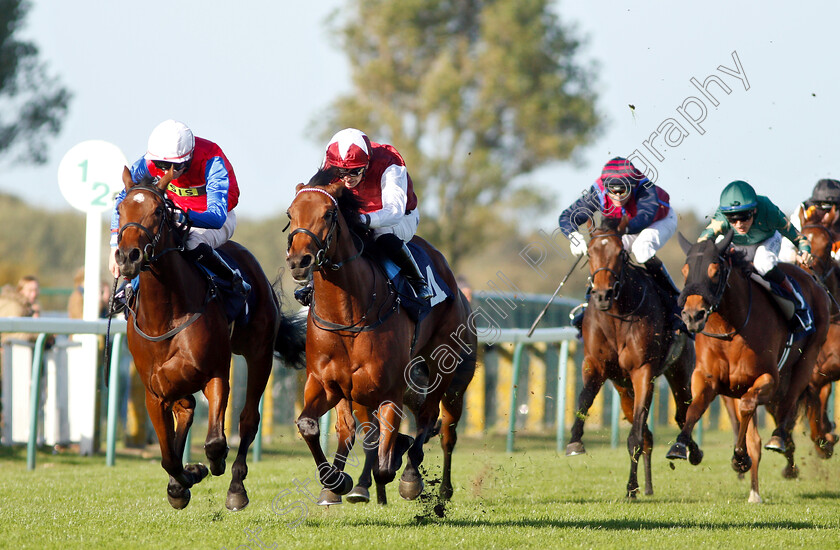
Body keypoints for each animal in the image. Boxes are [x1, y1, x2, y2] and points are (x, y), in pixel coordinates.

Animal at [113, 168, 306, 512]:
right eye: (121, 210)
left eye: (158, 211)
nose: (128, 257)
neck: (167, 314)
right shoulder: (154, 393)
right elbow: (168, 457)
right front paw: (183, 481)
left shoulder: (215, 373)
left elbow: (216, 442)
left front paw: (209, 468)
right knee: (187, 410)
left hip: (259, 353)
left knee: (248, 420)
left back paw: (236, 486)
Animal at [286, 170, 476, 506]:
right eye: (290, 214)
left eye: (329, 213)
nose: (299, 261)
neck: (347, 317)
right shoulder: (326, 383)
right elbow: (310, 425)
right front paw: (335, 481)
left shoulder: (389, 389)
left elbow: (385, 461)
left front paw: (396, 473)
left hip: (446, 372)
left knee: (436, 423)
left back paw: (430, 483)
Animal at [568, 218, 700, 502]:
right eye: (589, 252)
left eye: (620, 253)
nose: (603, 295)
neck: (616, 318)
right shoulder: (595, 365)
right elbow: (584, 400)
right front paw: (575, 440)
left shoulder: (643, 371)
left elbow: (635, 437)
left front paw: (630, 487)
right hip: (622, 387)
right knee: (649, 433)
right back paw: (648, 485)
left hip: (680, 370)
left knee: (682, 414)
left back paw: (690, 451)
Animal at [668, 231, 828, 506]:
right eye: (685, 270)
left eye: (714, 271)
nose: (692, 315)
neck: (730, 329)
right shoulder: (709, 380)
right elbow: (695, 409)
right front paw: (681, 446)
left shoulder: (767, 379)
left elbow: (747, 408)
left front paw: (740, 458)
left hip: (808, 357)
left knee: (791, 399)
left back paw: (781, 439)